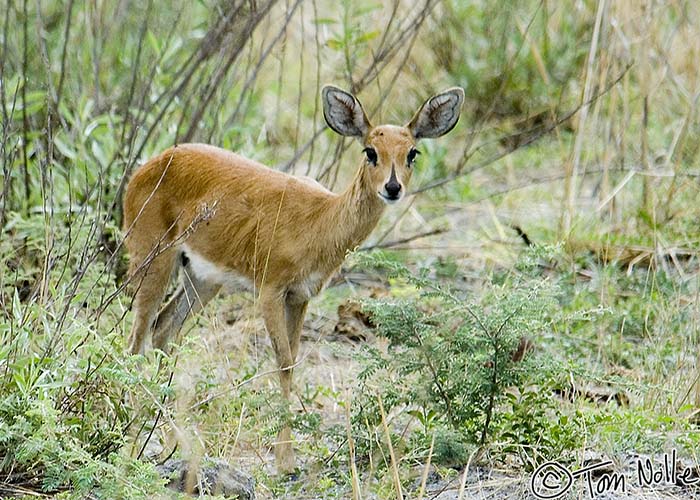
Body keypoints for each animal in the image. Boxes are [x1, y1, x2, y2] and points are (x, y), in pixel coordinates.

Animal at [124, 84, 464, 470]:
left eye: (412, 152)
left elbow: (294, 359)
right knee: (137, 337)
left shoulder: (300, 297)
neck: (318, 221)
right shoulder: (270, 291)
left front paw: (287, 457)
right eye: (370, 151)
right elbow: (284, 363)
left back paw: (174, 442)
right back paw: (133, 437)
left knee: (164, 329)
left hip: (201, 279)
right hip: (153, 260)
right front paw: (284, 460)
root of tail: (150, 165)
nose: (392, 188)